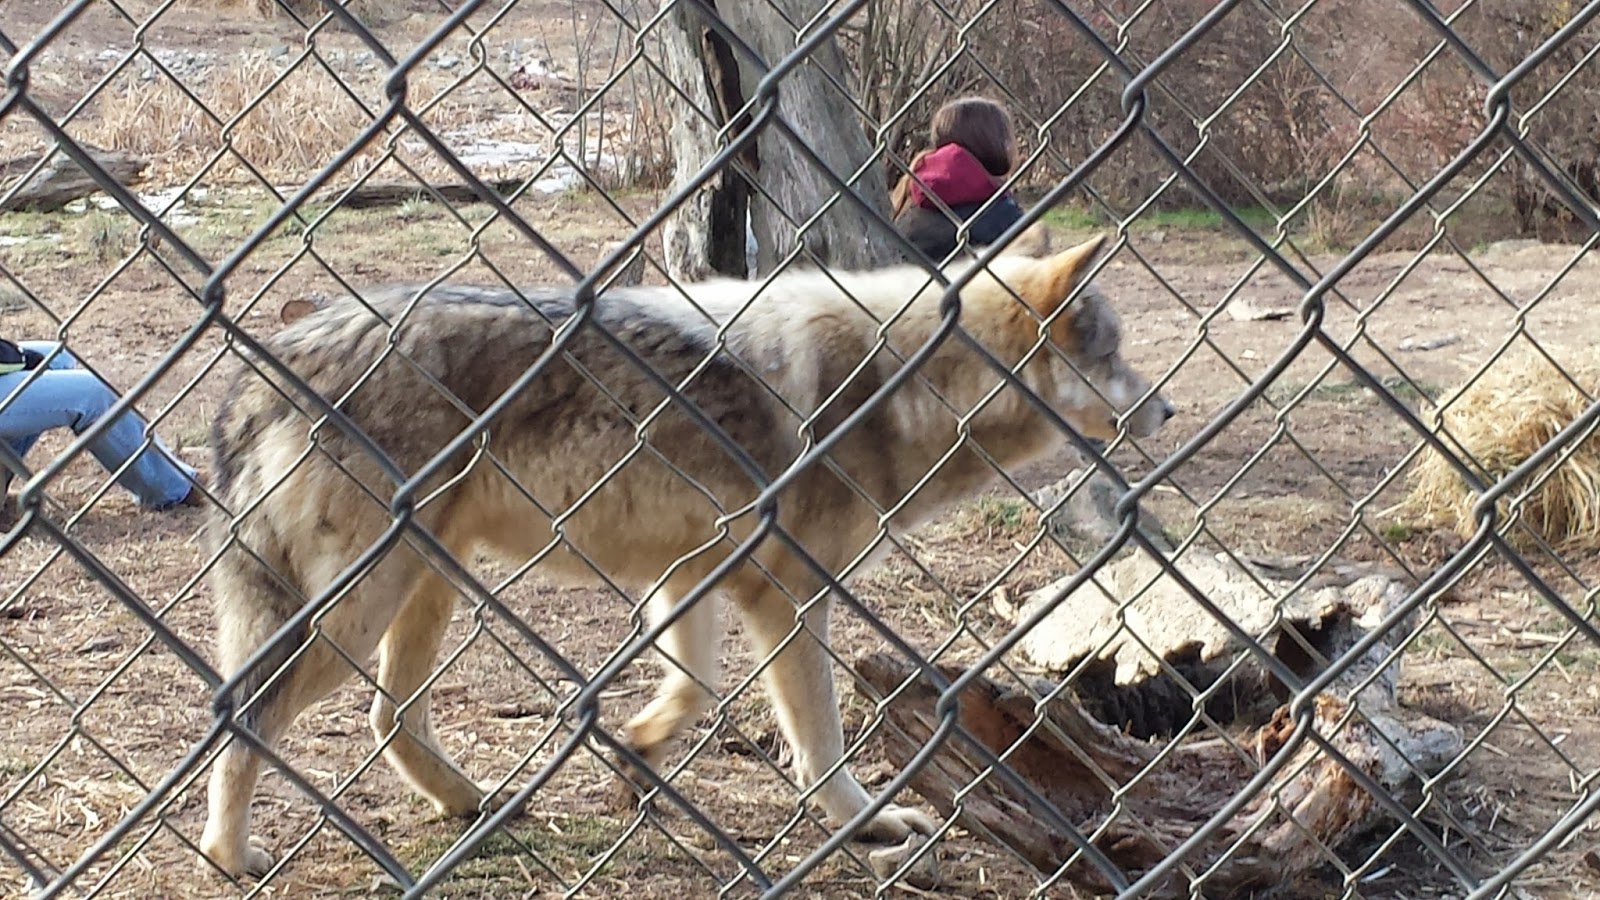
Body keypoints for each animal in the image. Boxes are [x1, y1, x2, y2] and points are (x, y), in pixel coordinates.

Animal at [198, 234, 1174, 877]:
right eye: (1117, 354)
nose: (1165, 409)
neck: (901, 382)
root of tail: (267, 363)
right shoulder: (791, 599)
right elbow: (821, 743)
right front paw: (862, 824)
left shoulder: (688, 578)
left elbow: (694, 688)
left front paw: (635, 753)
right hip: (361, 610)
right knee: (248, 714)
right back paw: (229, 856)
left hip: (428, 583)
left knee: (390, 718)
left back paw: (474, 804)